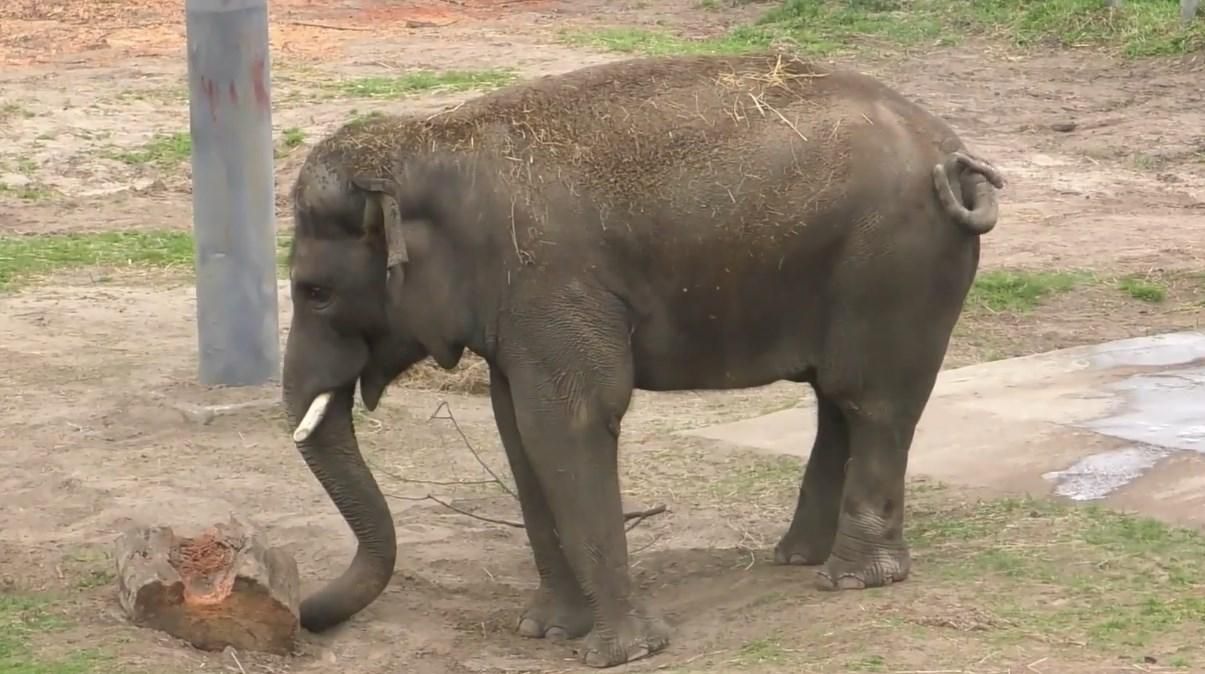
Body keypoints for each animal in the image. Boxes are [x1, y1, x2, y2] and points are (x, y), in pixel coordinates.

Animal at [277, 52, 1002, 670]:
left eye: (314, 292)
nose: (303, 611)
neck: (430, 141)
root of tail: (956, 155)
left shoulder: (553, 284)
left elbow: (565, 424)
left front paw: (624, 653)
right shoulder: (517, 308)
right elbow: (517, 428)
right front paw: (545, 632)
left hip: (892, 267)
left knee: (868, 399)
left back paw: (853, 578)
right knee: (836, 399)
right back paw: (795, 558)